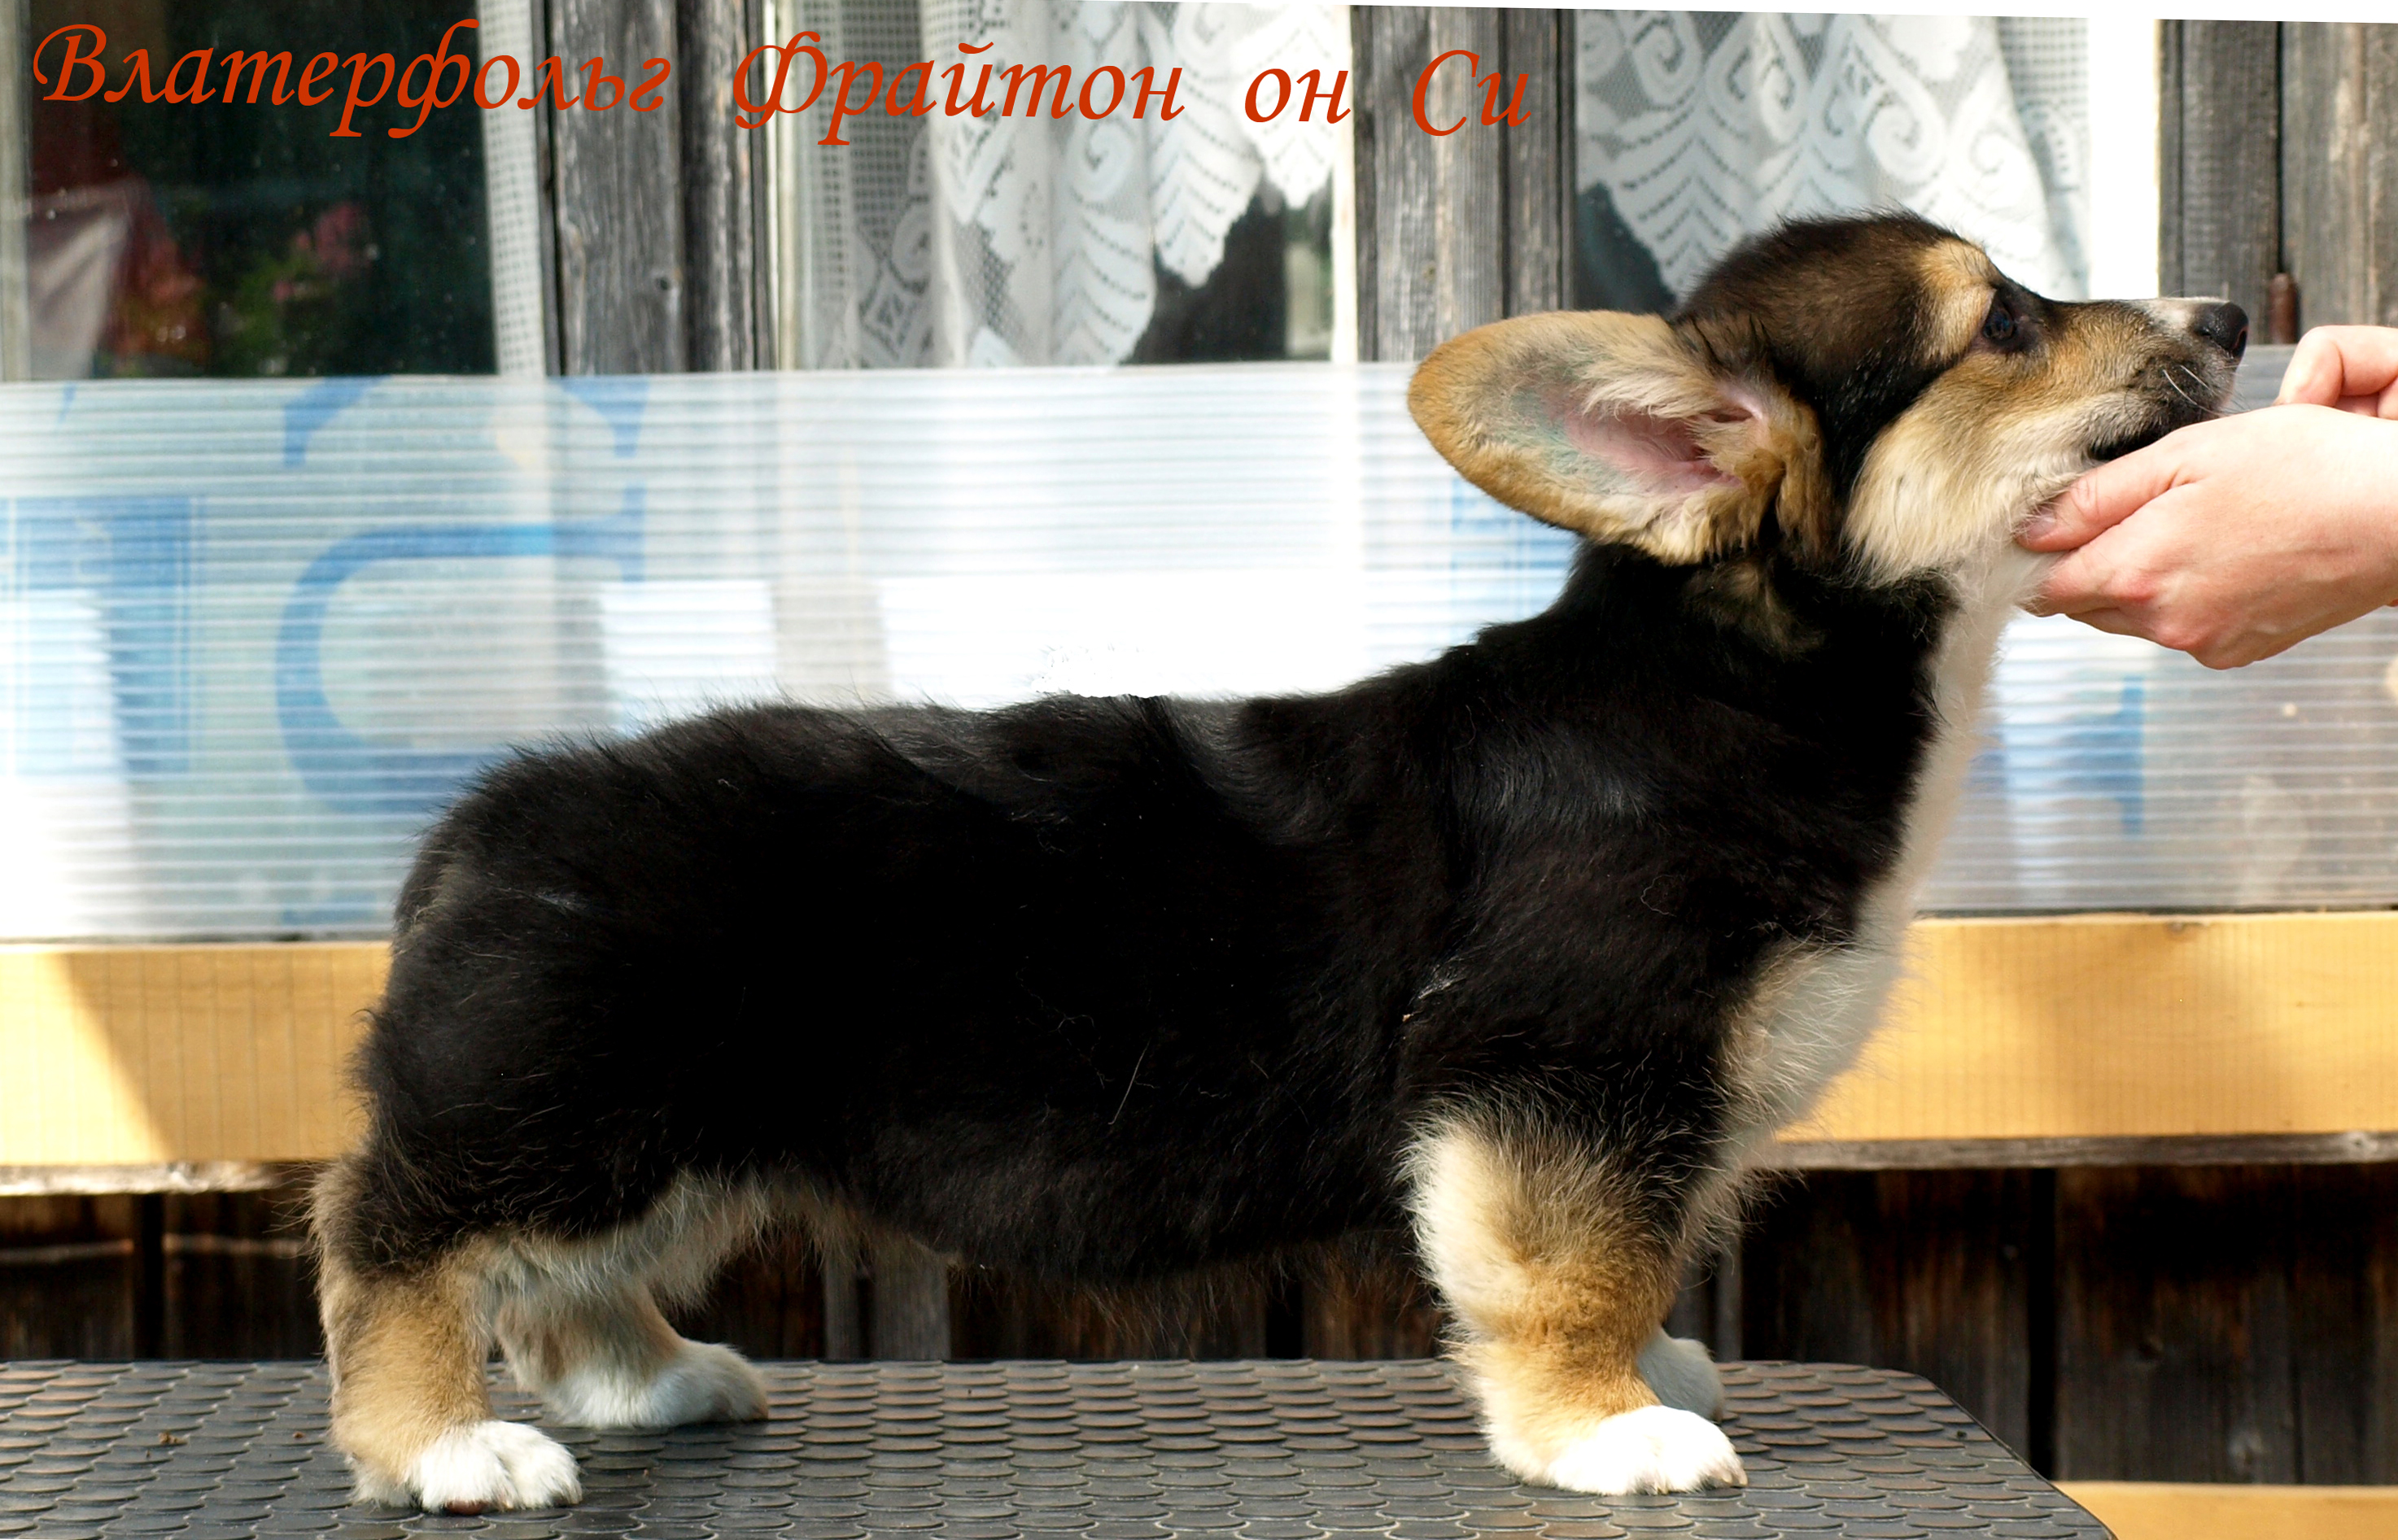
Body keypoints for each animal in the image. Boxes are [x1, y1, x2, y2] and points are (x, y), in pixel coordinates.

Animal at [312, 213, 2244, 1511]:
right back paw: (441, 1444)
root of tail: (479, 828)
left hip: (672, 1133)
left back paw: (648, 1377)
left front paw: (1648, 1367)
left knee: (557, 1277)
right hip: (578, 1103)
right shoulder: (1558, 1072)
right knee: (392, 1236)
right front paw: (1605, 1422)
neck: (1744, 680)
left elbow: (1632, 1255)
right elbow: (1571, 1267)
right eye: (2005, 319)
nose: (2234, 306)